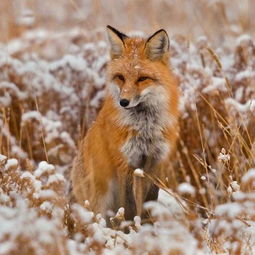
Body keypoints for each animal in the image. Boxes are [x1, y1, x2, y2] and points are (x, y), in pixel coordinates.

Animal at [70, 24, 180, 221]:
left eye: (142, 78)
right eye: (120, 77)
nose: (123, 102)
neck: (145, 127)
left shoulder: (155, 162)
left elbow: (149, 203)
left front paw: (147, 225)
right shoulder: (125, 162)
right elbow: (128, 207)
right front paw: (129, 227)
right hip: (100, 199)